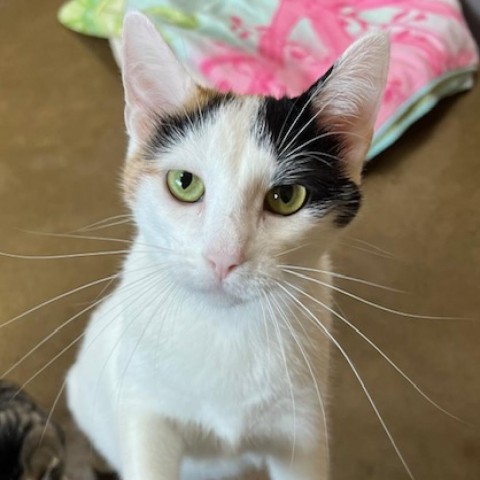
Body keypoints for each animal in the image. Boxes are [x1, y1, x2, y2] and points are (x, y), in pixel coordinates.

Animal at [66, 11, 390, 480]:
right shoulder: (144, 409)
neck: (224, 330)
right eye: (184, 183)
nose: (223, 258)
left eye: (286, 196)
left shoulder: (303, 424)